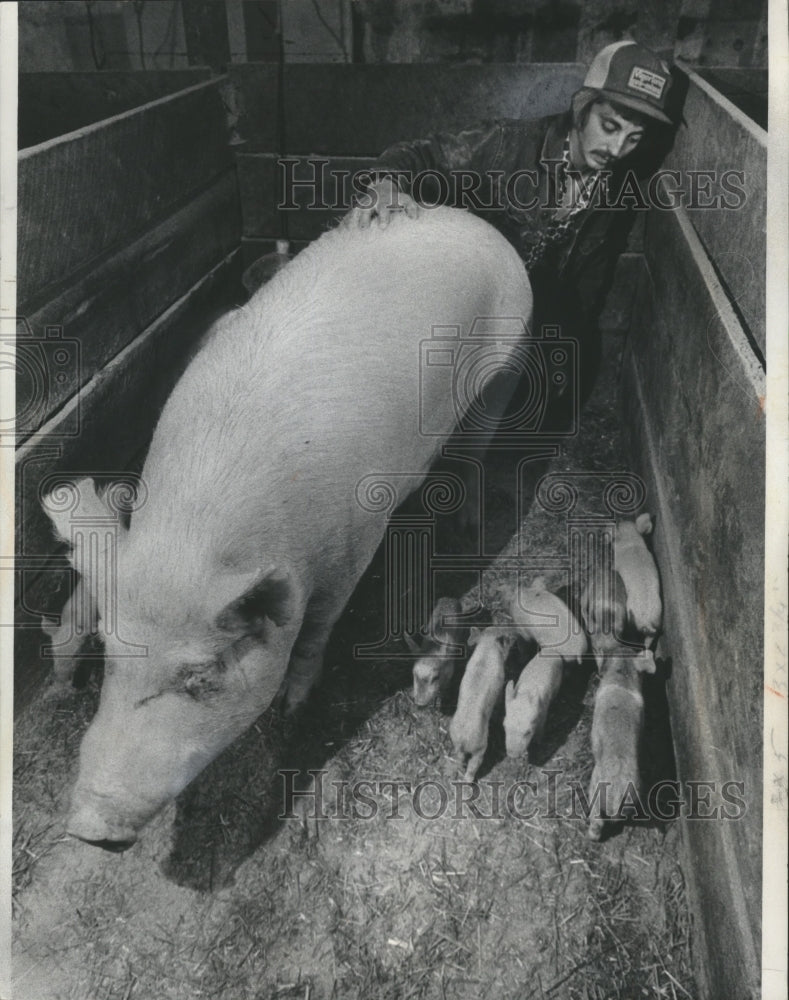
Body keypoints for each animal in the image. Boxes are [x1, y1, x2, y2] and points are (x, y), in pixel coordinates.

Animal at [44, 207, 536, 848]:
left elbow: (317, 629)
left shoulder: (355, 544)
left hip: (506, 361)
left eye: (200, 676)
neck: (196, 536)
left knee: (478, 448)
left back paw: (465, 526)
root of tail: (469, 219)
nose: (87, 828)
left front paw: (293, 708)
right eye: (107, 650)